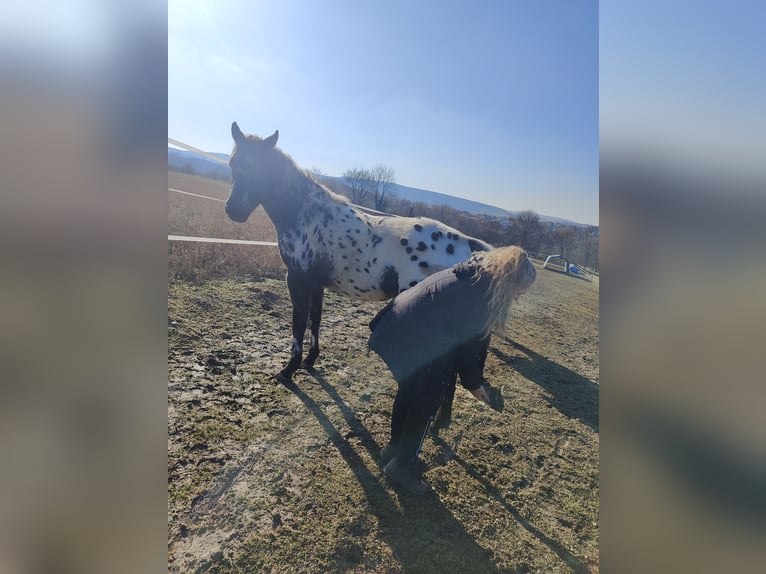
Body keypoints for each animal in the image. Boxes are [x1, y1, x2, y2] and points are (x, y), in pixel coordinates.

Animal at [225, 122, 496, 382]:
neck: (308, 215)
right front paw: (310, 361)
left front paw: (288, 370)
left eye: (261, 168)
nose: (234, 210)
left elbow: (298, 324)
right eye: (233, 163)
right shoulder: (316, 283)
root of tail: (466, 244)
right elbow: (315, 319)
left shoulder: (298, 280)